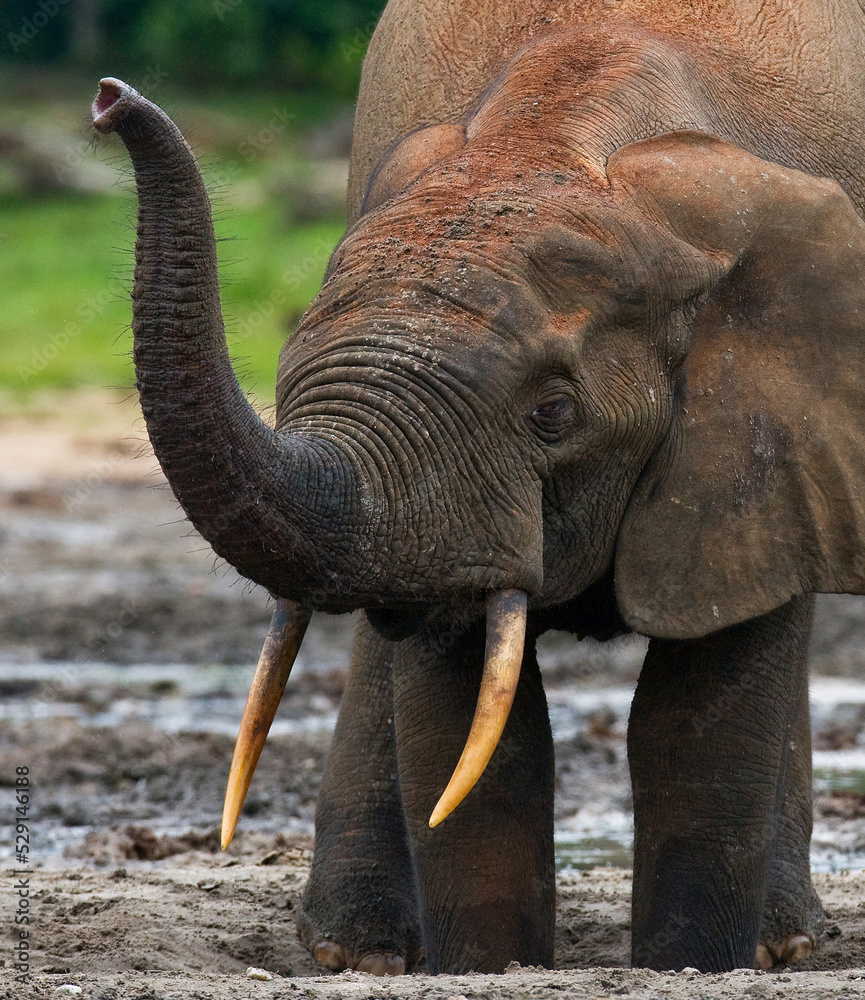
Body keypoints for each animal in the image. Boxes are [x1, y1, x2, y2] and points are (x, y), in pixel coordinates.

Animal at [90, 0, 865, 977]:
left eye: (552, 412)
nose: (107, 98)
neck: (554, 137)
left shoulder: (765, 431)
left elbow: (696, 719)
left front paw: (689, 965)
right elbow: (468, 716)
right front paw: (488, 968)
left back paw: (781, 945)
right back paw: (358, 952)